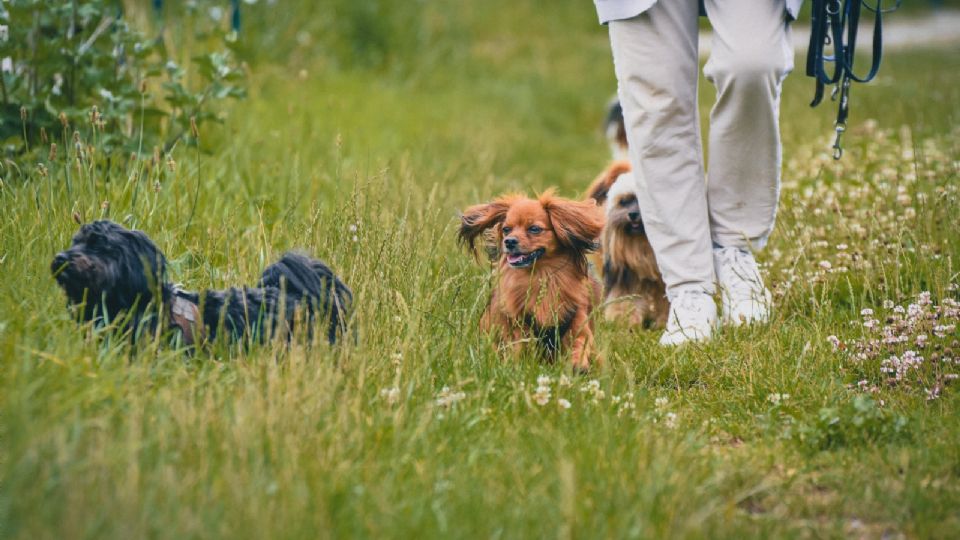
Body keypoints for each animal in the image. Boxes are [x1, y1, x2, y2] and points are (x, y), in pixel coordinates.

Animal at [458, 192, 600, 374]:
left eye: (534, 229)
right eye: (506, 229)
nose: (509, 241)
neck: (542, 276)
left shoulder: (577, 320)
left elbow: (580, 342)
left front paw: (578, 364)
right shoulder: (519, 328)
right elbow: (521, 347)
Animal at [584, 160, 668, 330]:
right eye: (624, 201)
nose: (633, 214)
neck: (642, 242)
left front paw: (663, 322)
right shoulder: (623, 274)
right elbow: (625, 299)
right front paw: (625, 321)